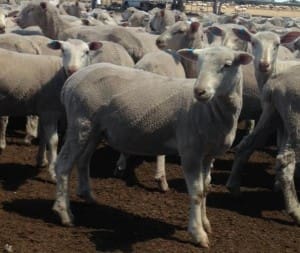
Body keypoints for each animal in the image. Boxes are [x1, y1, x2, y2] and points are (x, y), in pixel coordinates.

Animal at [52, 46, 253, 248]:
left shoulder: (208, 155)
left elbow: (205, 190)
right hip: (80, 122)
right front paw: (198, 234)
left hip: (94, 129)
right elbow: (196, 193)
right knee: (63, 165)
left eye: (227, 65)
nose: (199, 91)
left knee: (83, 160)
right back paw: (65, 214)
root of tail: (70, 82)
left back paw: (88, 196)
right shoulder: (191, 151)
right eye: (199, 63)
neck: (210, 111)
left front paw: (205, 223)